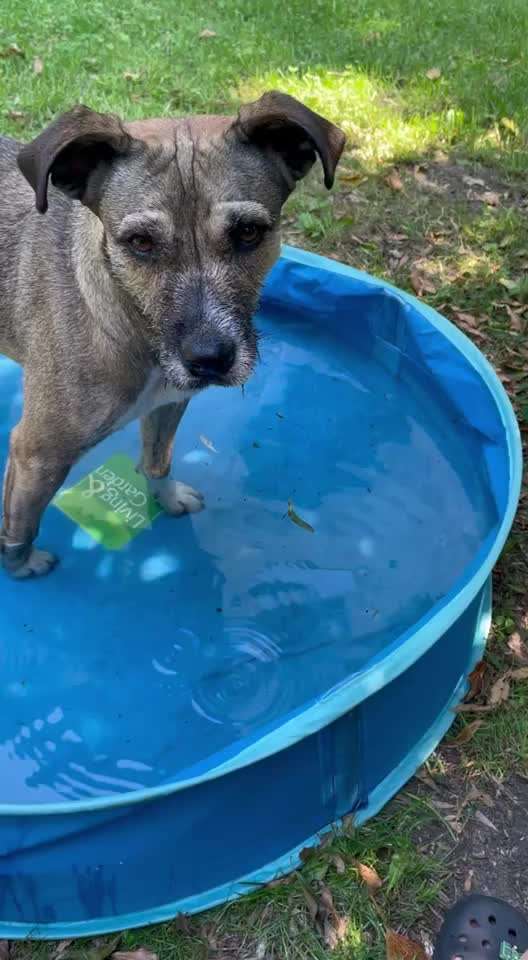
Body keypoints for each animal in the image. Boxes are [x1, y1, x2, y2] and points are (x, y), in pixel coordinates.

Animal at [0, 92, 346, 576]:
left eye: (248, 232)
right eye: (141, 243)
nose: (209, 359)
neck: (136, 331)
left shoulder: (168, 403)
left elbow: (156, 461)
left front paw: (167, 498)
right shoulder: (37, 453)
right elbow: (22, 522)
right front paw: (20, 565)